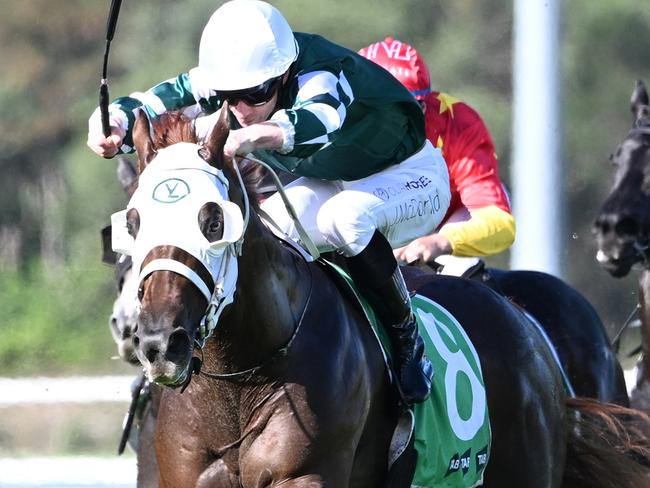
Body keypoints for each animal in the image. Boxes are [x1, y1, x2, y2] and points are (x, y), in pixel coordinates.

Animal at [117, 108, 648, 486]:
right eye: (133, 222)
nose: (158, 342)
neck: (238, 379)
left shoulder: (306, 474)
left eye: (213, 220)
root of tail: (524, 325)